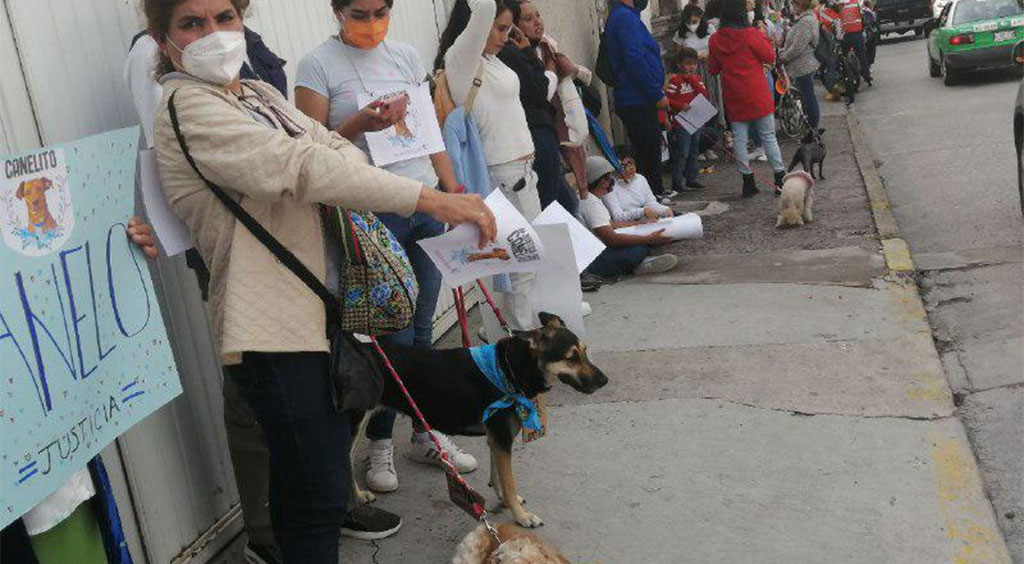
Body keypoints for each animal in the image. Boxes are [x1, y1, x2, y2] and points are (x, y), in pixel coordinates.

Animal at [356, 313, 606, 528]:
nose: (605, 381)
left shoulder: (496, 439)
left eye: (584, 351)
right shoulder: (502, 438)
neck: (509, 370)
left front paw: (504, 499)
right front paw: (521, 516)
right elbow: (509, 480)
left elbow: (498, 476)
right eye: (571, 358)